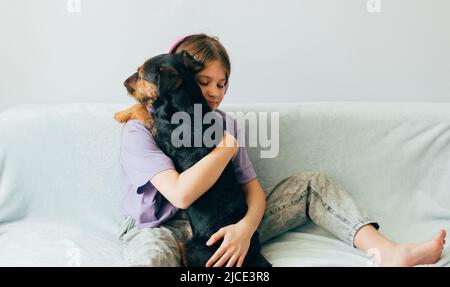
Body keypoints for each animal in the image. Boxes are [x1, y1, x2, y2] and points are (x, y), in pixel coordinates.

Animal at [116, 51, 270, 268]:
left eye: (141, 74)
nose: (123, 83)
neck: (185, 104)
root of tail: (252, 258)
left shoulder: (160, 134)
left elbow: (144, 111)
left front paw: (121, 114)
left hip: (196, 248)